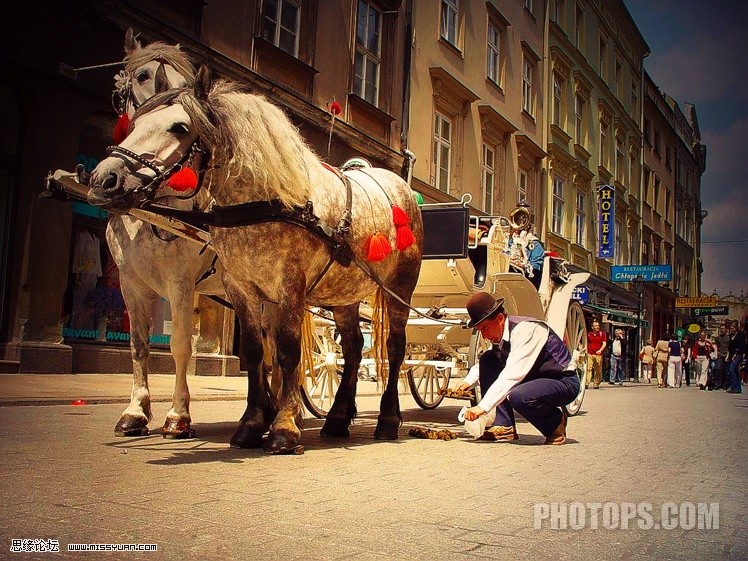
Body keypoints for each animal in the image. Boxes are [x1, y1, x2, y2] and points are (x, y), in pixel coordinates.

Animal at [88, 65, 424, 452]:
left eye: (180, 128)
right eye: (134, 122)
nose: (104, 179)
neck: (263, 200)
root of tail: (398, 184)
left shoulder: (276, 286)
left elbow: (284, 352)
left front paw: (283, 428)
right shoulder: (234, 287)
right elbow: (249, 352)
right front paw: (251, 424)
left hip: (399, 288)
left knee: (395, 348)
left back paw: (388, 419)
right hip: (344, 294)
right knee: (353, 349)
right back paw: (338, 417)